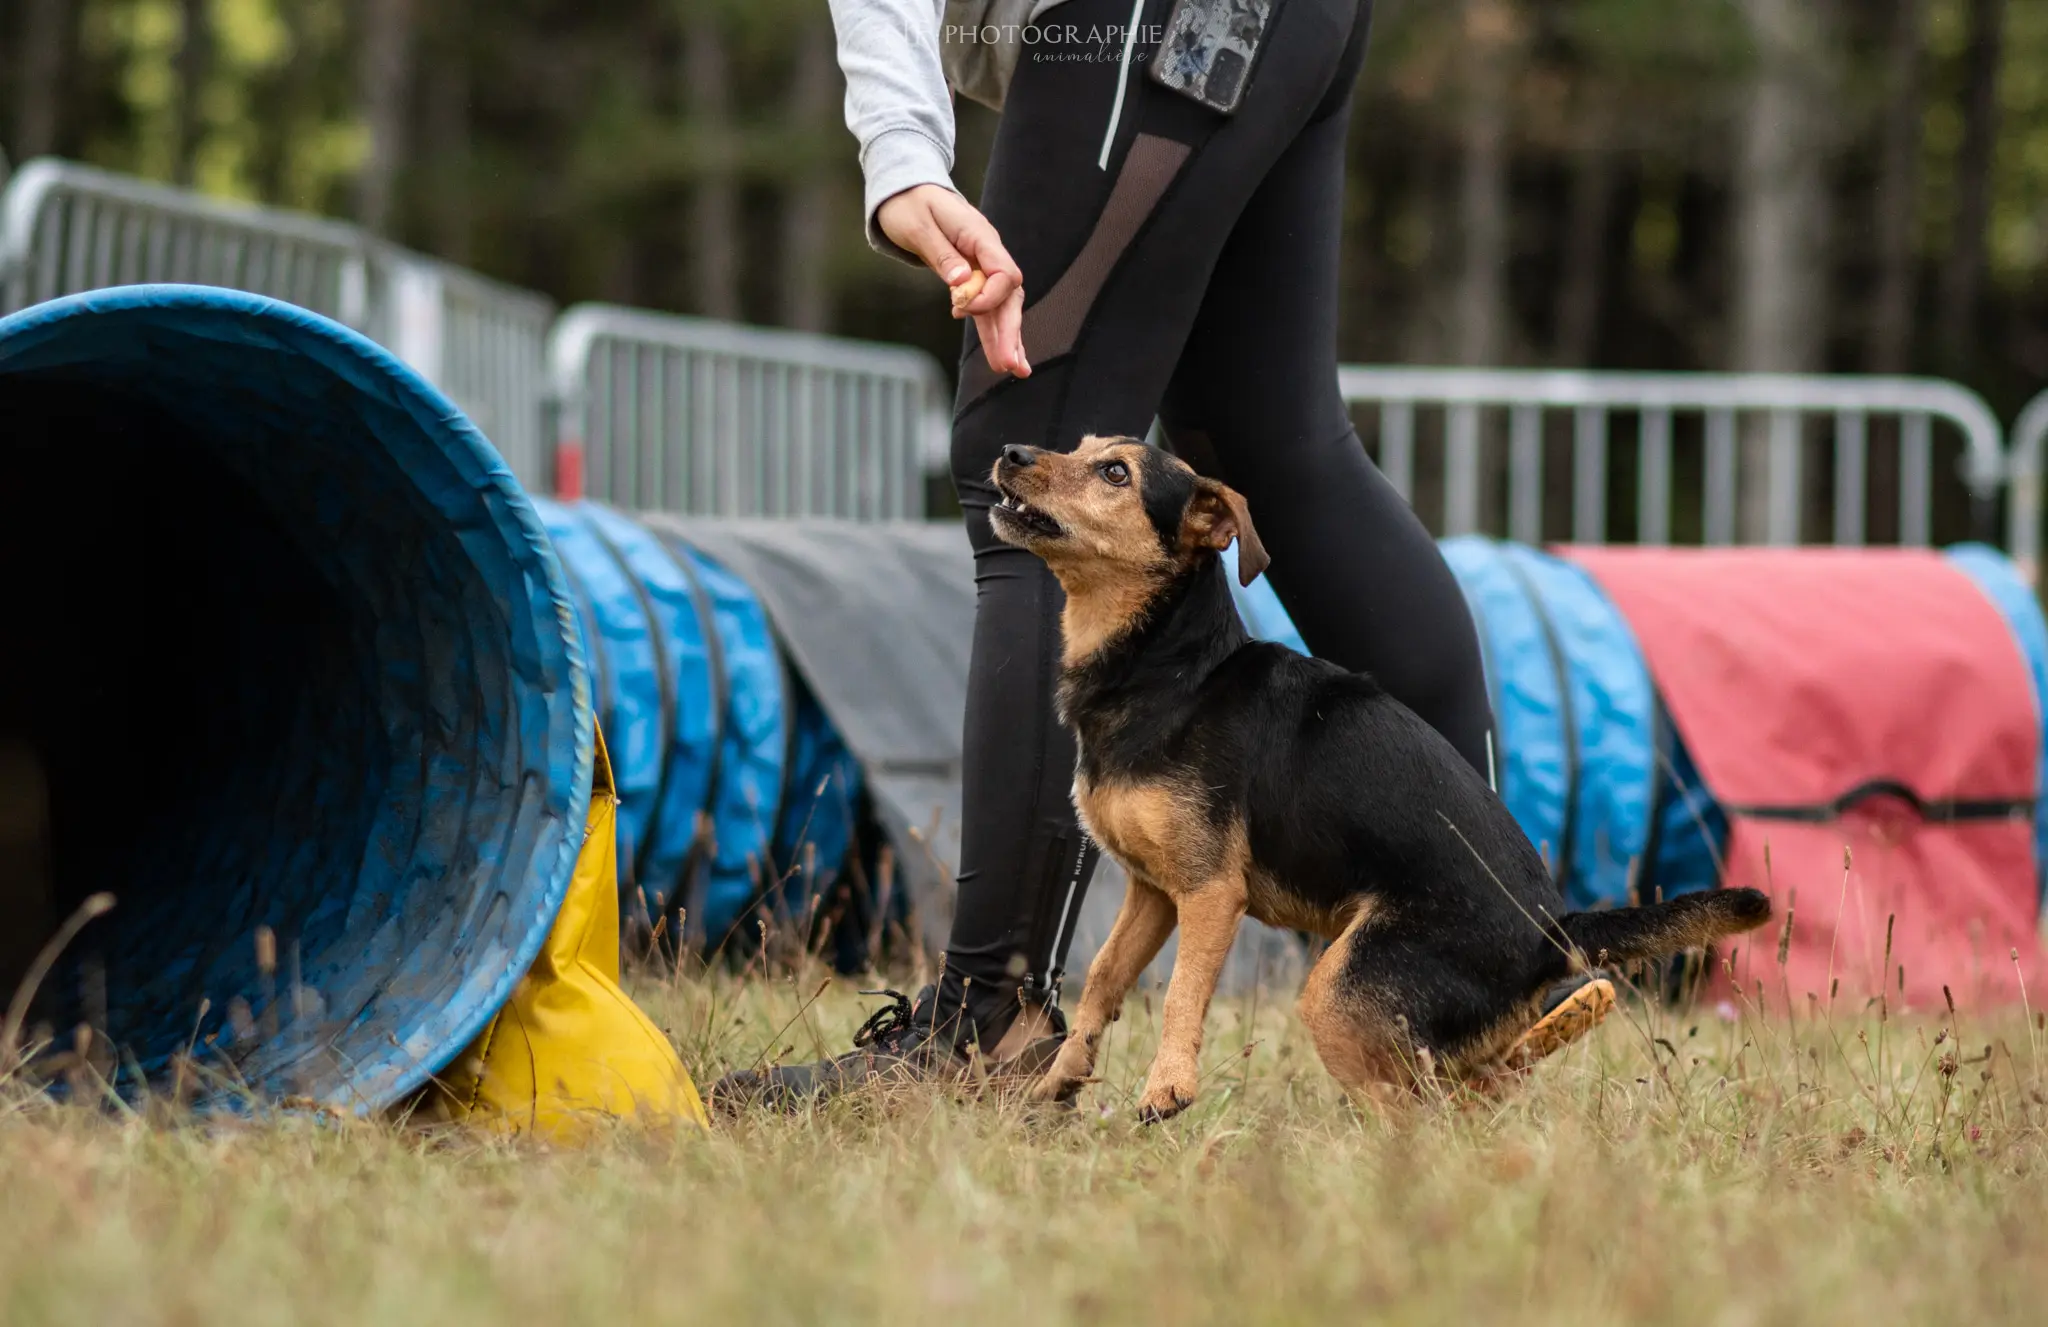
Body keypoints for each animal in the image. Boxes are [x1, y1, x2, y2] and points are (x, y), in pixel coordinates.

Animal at [983, 436, 1769, 1122]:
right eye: (1080, 445)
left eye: (1115, 473)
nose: (1010, 451)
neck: (1169, 667)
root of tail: (1553, 927)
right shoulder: (1152, 889)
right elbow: (1103, 979)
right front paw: (1057, 1082)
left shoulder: (1210, 891)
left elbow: (1181, 991)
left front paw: (1167, 1088)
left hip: (1339, 988)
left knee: (1419, 1113)